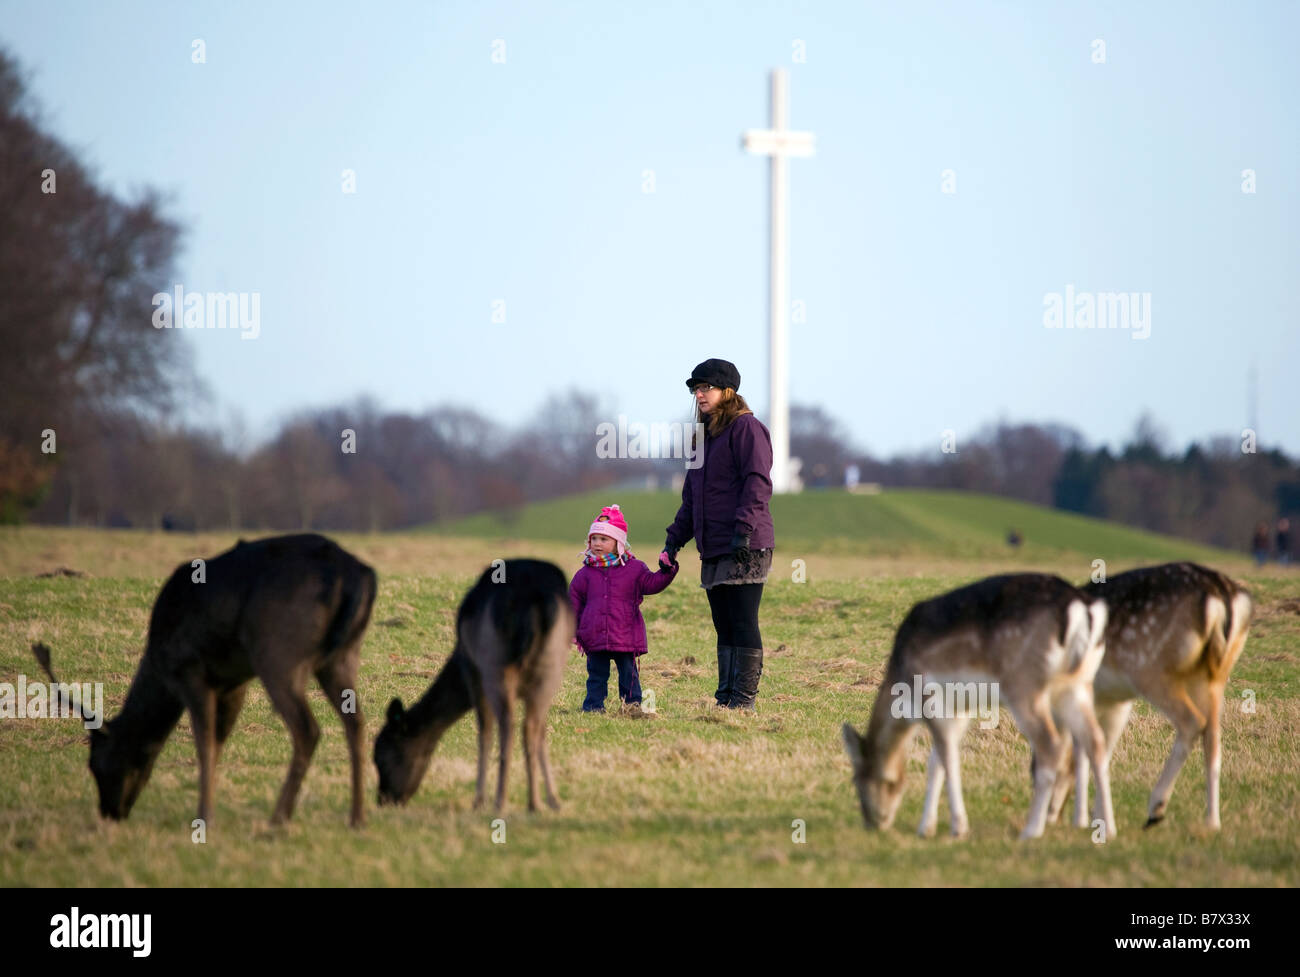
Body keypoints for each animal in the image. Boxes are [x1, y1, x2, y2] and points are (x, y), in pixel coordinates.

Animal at [31, 537, 377, 826]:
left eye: (96, 764)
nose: (110, 812)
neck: (157, 657)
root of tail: (357, 575)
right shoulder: (234, 683)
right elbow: (220, 741)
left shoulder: (190, 670)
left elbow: (205, 743)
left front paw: (204, 816)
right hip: (343, 655)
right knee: (356, 722)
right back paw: (357, 817)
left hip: (279, 653)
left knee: (307, 728)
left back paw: (278, 820)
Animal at [379, 561, 577, 810]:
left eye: (380, 756)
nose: (384, 799)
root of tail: (536, 598)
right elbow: (541, 731)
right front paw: (553, 799)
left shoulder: (472, 670)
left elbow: (484, 729)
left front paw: (479, 799)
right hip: (551, 667)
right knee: (531, 727)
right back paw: (536, 802)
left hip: (494, 663)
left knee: (507, 725)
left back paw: (500, 800)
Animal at [842, 571, 1118, 841]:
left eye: (856, 779)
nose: (871, 823)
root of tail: (1082, 608)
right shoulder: (960, 709)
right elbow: (936, 763)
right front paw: (926, 828)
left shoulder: (930, 698)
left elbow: (949, 760)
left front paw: (958, 827)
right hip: (1078, 683)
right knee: (1096, 741)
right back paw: (1108, 828)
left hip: (1024, 683)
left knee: (1051, 745)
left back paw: (1031, 830)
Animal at [1040, 561, 1253, 826]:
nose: (1050, 814)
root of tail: (1219, 594)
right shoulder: (1117, 701)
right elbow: (1104, 747)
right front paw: (1098, 816)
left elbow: (1082, 749)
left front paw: (1080, 819)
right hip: (1213, 676)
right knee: (1213, 737)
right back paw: (1212, 822)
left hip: (1151, 671)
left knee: (1193, 722)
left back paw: (1157, 807)